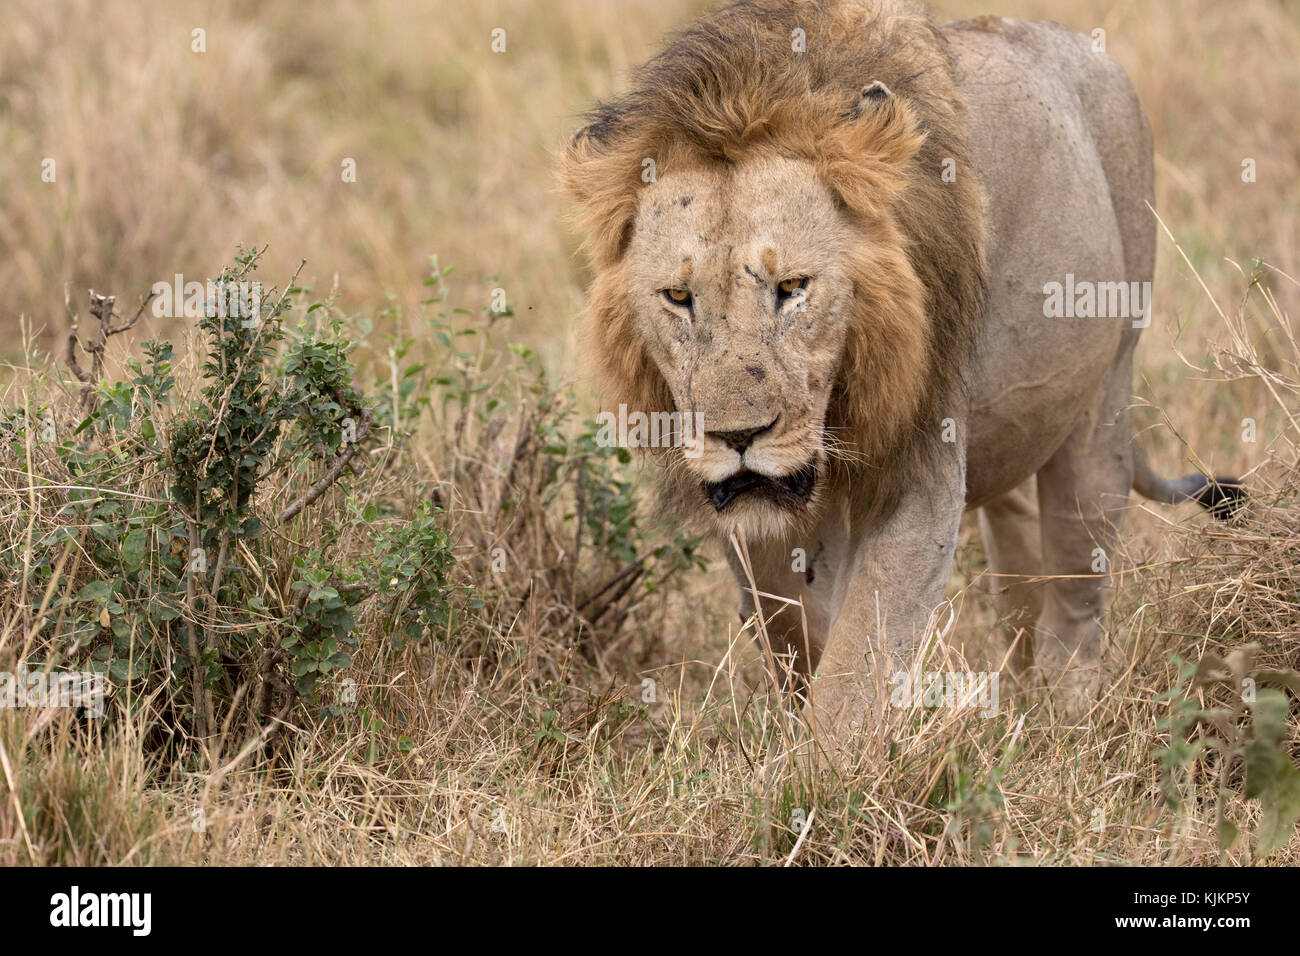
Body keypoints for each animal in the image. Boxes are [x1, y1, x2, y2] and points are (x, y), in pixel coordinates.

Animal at [563, 0, 1242, 736]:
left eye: (793, 287)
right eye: (678, 297)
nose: (737, 437)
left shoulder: (921, 462)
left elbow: (857, 655)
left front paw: (822, 763)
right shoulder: (760, 519)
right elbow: (797, 630)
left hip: (1104, 402)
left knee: (1075, 593)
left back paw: (1061, 721)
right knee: (1019, 558)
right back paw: (1014, 702)